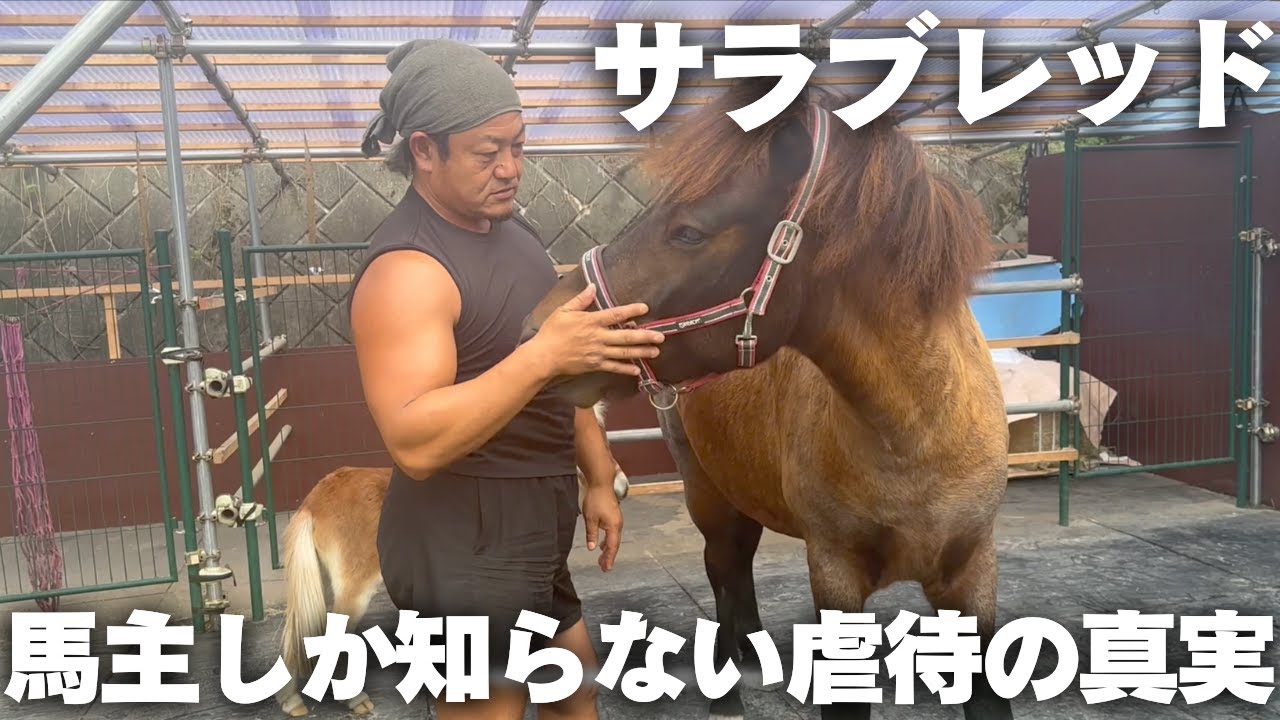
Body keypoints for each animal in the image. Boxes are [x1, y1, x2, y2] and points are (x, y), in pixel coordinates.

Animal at [522, 80, 1013, 720]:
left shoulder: (973, 575)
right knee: (724, 570)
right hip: (707, 492)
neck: (914, 432)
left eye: (689, 231)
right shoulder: (835, 577)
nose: (538, 329)